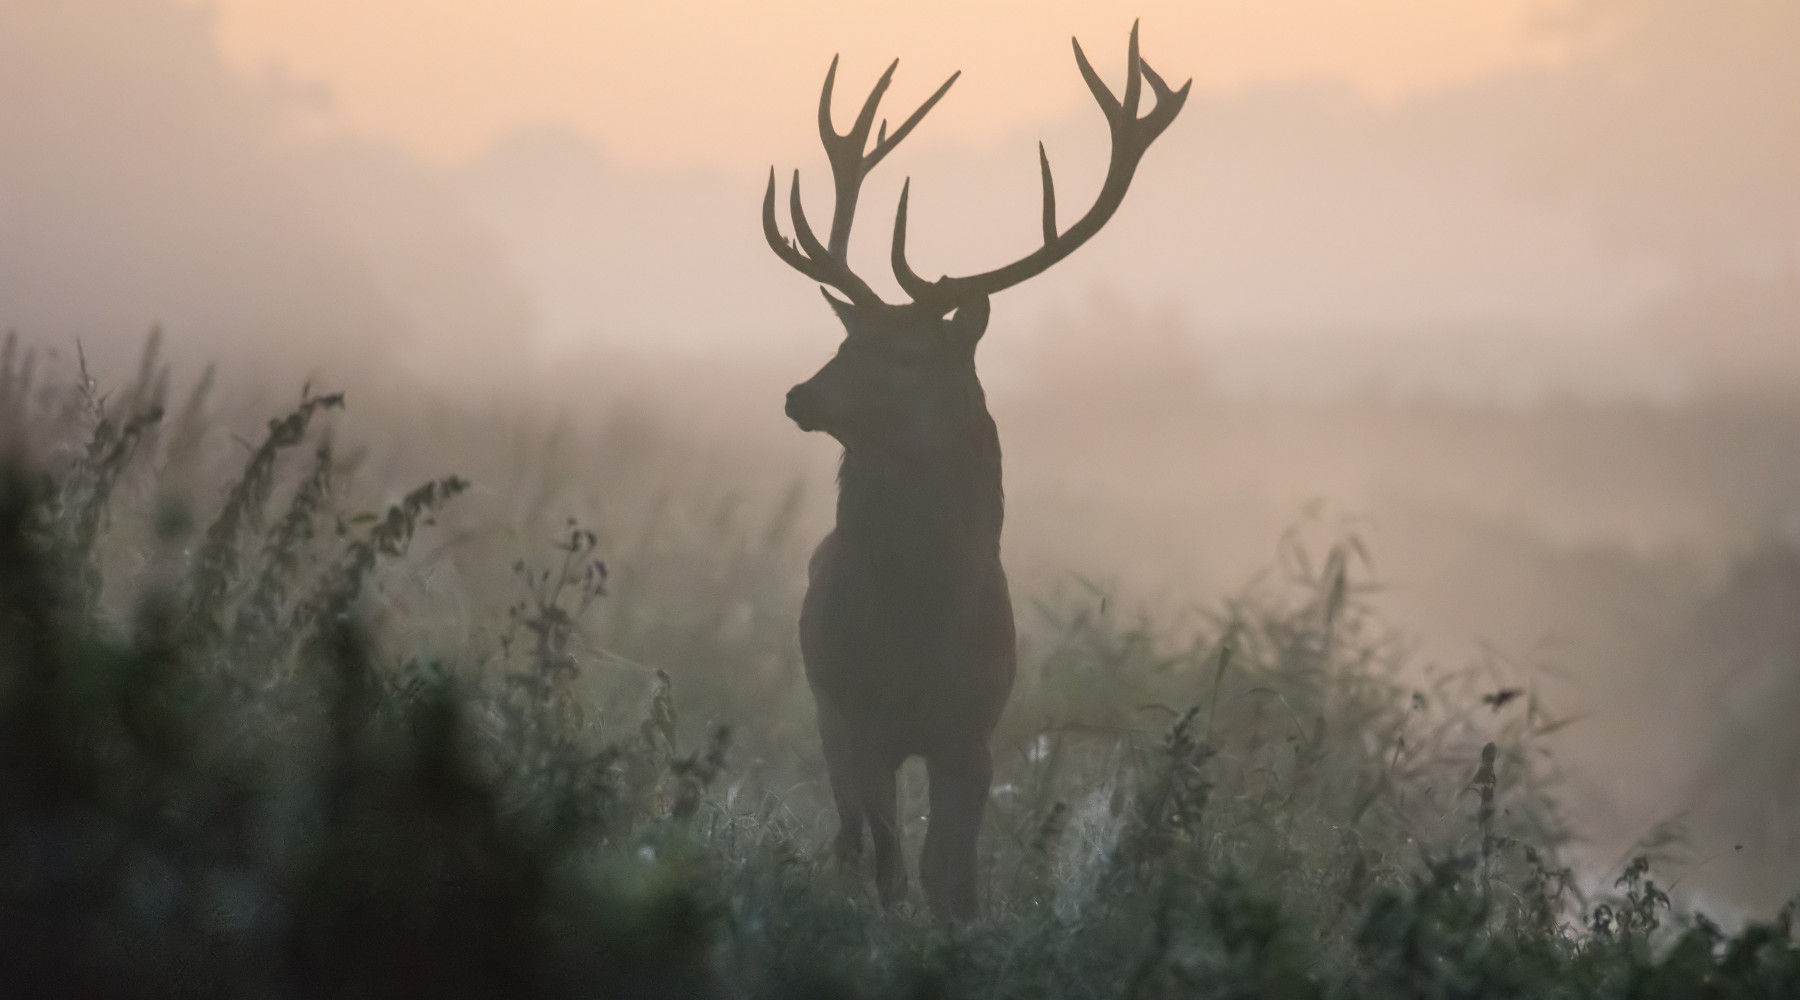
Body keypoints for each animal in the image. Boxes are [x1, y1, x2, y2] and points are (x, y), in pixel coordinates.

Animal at [763, 22, 1188, 919]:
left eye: (909, 353)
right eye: (847, 340)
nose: (798, 394)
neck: (920, 620)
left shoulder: (973, 730)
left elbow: (950, 878)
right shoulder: (861, 721)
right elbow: (894, 868)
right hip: (825, 713)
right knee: (851, 841)